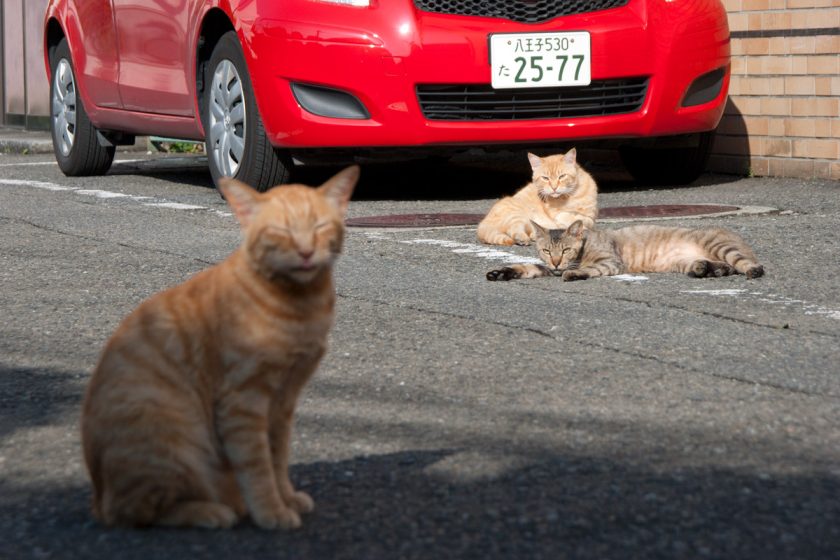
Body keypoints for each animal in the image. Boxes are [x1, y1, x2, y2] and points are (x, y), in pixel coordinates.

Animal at [77, 164, 356, 528]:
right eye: (280, 231)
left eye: (320, 226)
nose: (307, 252)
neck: (302, 306)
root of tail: (97, 496)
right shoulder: (242, 402)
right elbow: (257, 466)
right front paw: (271, 512)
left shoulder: (283, 402)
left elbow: (278, 457)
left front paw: (287, 497)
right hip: (172, 436)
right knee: (136, 510)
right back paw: (212, 511)